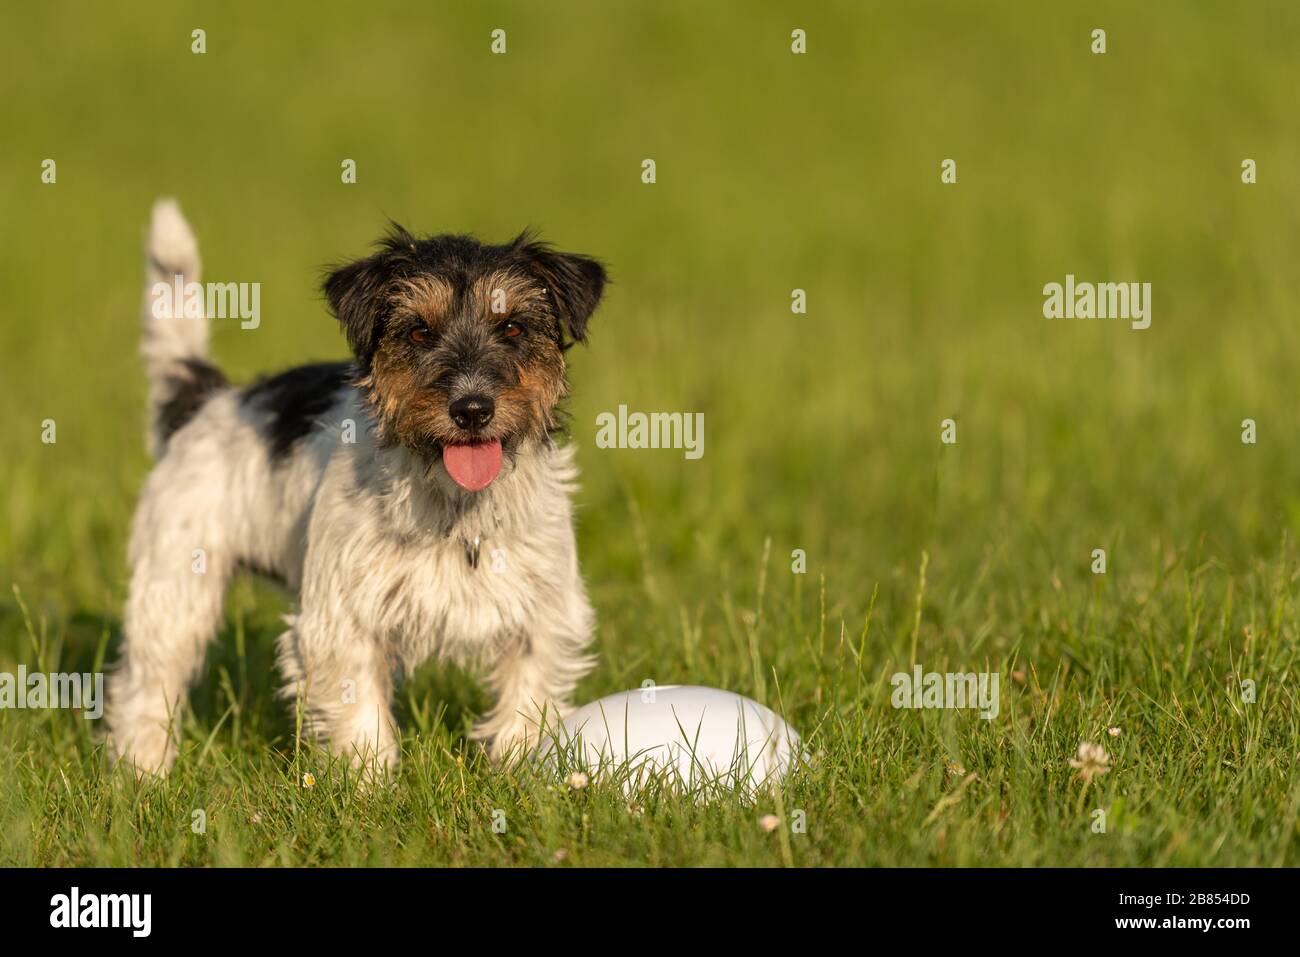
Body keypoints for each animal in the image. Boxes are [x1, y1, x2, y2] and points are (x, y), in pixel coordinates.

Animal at [105, 201, 603, 780]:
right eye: (417, 332)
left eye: (513, 326)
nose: (473, 408)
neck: (454, 507)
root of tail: (208, 400)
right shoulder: (342, 621)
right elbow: (360, 713)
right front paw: (370, 787)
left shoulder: (541, 617)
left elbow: (528, 701)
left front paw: (523, 775)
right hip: (176, 586)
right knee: (146, 682)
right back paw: (144, 771)